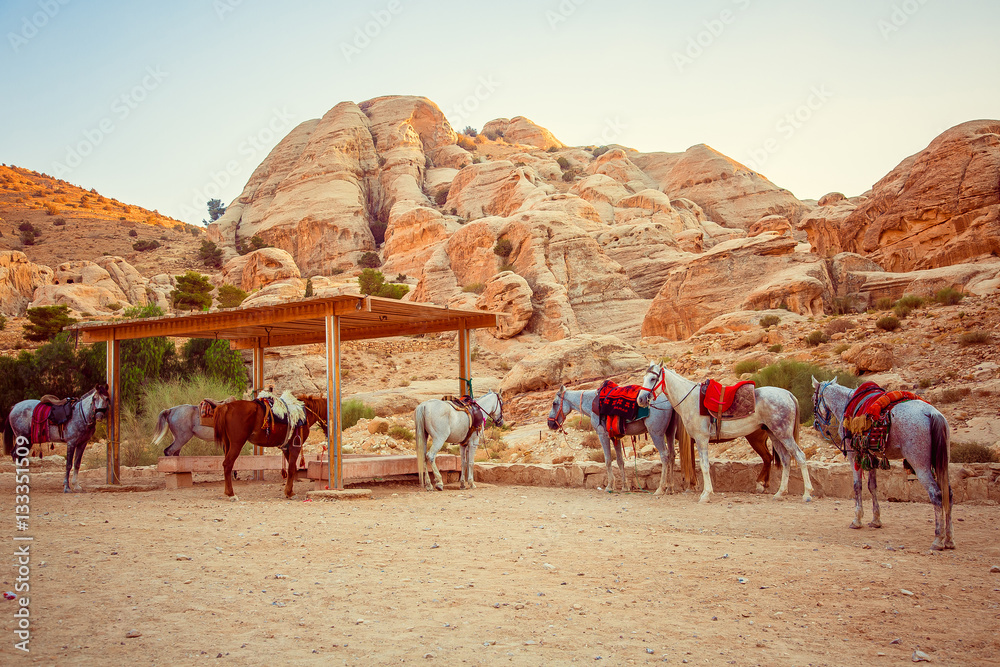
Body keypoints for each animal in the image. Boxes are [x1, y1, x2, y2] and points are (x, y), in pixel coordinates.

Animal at [548, 384, 680, 494]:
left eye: (554, 403)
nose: (550, 424)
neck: (591, 403)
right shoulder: (615, 437)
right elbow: (620, 461)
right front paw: (625, 487)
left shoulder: (602, 434)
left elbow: (607, 460)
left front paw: (610, 486)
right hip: (670, 431)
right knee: (672, 454)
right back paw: (670, 488)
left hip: (656, 433)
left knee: (664, 455)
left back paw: (661, 488)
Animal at [640, 362, 812, 504]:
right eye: (644, 378)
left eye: (653, 378)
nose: (641, 399)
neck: (691, 400)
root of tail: (788, 394)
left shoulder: (701, 439)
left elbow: (703, 465)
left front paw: (706, 494)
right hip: (774, 434)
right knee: (785, 460)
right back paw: (780, 493)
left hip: (783, 433)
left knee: (799, 456)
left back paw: (807, 494)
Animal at [812, 378, 952, 552]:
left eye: (813, 398)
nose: (816, 424)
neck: (847, 403)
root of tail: (932, 414)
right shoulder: (870, 455)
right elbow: (872, 486)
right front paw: (875, 520)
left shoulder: (854, 454)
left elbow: (857, 486)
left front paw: (857, 520)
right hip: (942, 463)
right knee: (948, 494)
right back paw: (949, 540)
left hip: (921, 465)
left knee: (936, 495)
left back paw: (938, 540)